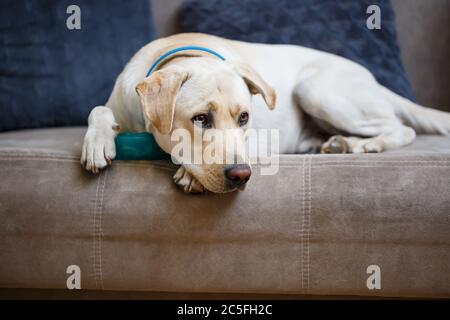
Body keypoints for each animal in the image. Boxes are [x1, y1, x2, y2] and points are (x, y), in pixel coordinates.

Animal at [80, 32, 450, 192]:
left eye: (244, 118)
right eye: (201, 119)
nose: (240, 175)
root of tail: (372, 77)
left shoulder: (259, 140)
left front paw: (189, 174)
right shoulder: (117, 102)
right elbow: (97, 110)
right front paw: (96, 142)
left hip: (317, 89)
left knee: (402, 128)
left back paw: (363, 144)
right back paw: (333, 143)